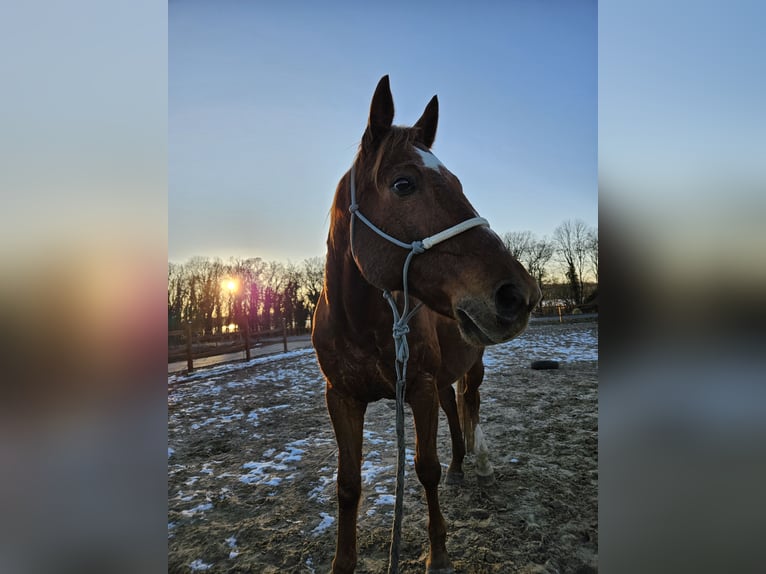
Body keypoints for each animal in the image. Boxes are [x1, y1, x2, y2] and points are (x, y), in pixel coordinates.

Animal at [310, 77, 540, 574]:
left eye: (457, 183)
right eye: (404, 184)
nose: (520, 293)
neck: (360, 324)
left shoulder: (417, 387)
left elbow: (424, 468)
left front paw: (439, 555)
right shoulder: (342, 397)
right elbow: (348, 484)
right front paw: (343, 562)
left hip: (471, 367)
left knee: (470, 404)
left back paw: (478, 463)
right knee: (455, 409)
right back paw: (459, 466)